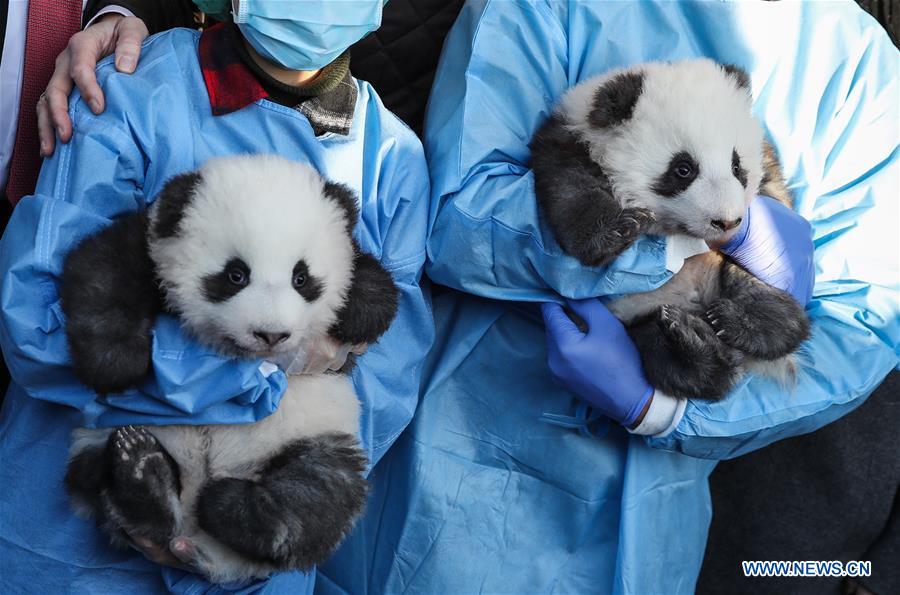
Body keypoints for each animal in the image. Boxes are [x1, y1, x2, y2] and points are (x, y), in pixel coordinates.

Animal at [59, 155, 400, 583]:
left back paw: (235, 508)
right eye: (235, 275)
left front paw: (359, 310)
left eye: (301, 277)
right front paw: (115, 363)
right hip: (102, 433)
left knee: (321, 492)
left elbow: (373, 288)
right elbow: (104, 271)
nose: (271, 334)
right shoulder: (151, 242)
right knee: (97, 475)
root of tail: (198, 544)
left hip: (319, 433)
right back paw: (141, 471)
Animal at [530, 58, 810, 399]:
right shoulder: (568, 140)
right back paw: (689, 342)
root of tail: (696, 300)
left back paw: (741, 323)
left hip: (729, 274)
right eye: (683, 169)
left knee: (762, 294)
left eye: (736, 166)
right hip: (634, 314)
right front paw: (616, 230)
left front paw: (774, 231)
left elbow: (774, 186)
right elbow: (571, 188)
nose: (726, 222)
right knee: (678, 364)